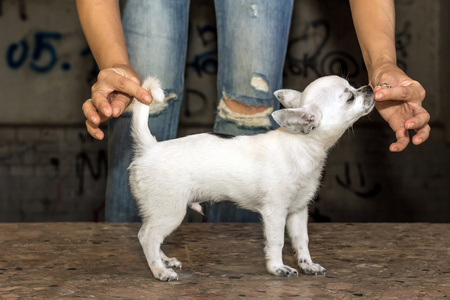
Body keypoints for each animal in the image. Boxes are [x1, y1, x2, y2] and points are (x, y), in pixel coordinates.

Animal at [128, 75, 374, 282]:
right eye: (350, 97)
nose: (369, 87)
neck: (302, 145)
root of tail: (150, 148)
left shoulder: (298, 211)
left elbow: (301, 241)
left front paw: (307, 265)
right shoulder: (275, 212)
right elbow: (277, 241)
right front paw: (277, 268)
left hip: (160, 212)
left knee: (150, 235)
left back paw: (164, 261)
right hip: (170, 211)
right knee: (147, 237)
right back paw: (159, 270)